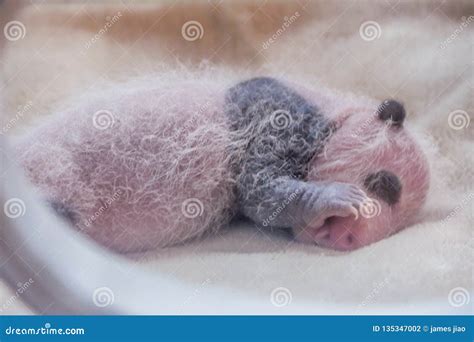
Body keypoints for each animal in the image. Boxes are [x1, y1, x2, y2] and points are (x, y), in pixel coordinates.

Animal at [13, 77, 430, 254]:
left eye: (397, 228)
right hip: (52, 171)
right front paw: (335, 196)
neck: (332, 110)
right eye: (384, 184)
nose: (350, 239)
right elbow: (258, 186)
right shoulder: (278, 117)